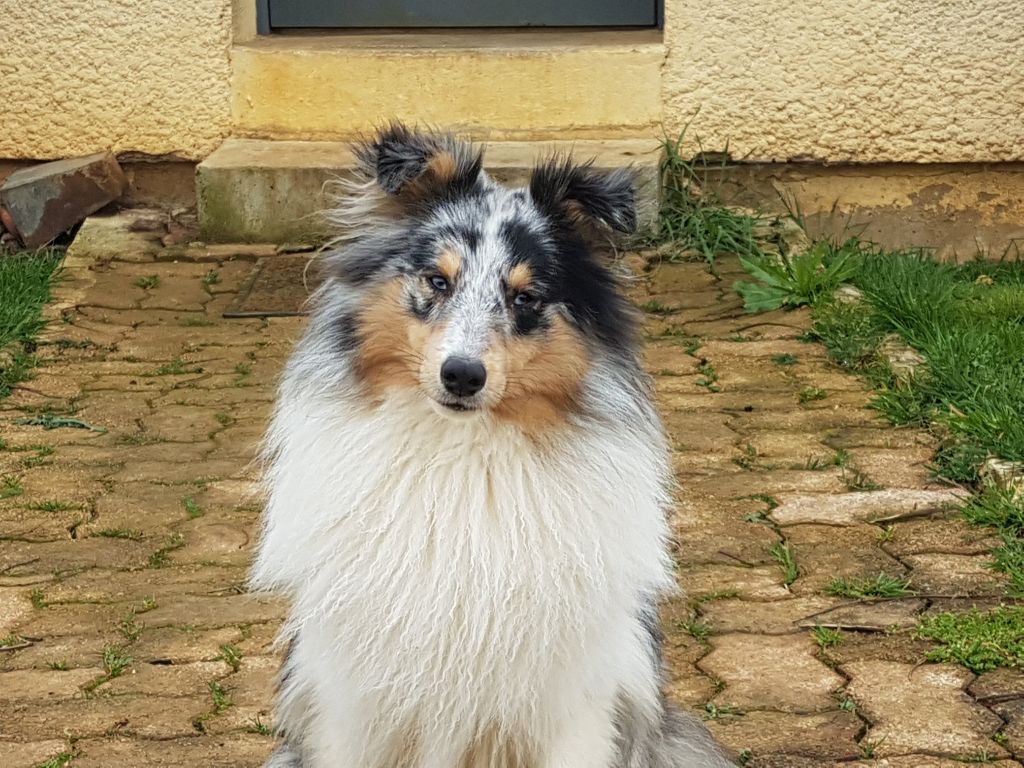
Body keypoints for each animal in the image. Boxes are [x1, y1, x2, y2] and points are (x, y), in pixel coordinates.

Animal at [254, 126, 737, 768]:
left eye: (525, 298)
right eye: (438, 281)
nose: (462, 376)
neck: (461, 459)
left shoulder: (573, 707)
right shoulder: (347, 702)